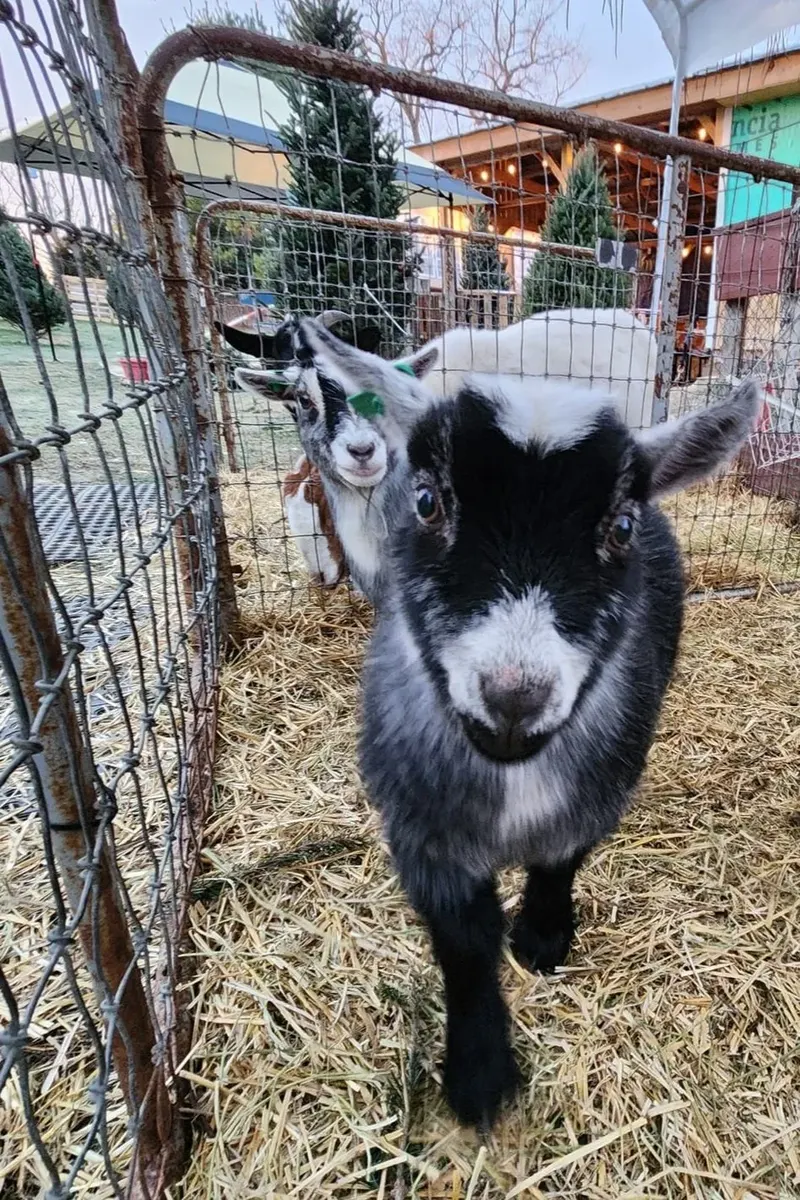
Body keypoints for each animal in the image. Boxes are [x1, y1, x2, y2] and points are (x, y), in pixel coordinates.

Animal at [292, 320, 760, 1131]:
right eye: (426, 502)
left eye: (622, 525)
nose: (513, 699)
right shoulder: (420, 828)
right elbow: (463, 943)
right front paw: (479, 1076)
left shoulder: (603, 785)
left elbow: (560, 860)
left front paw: (542, 940)